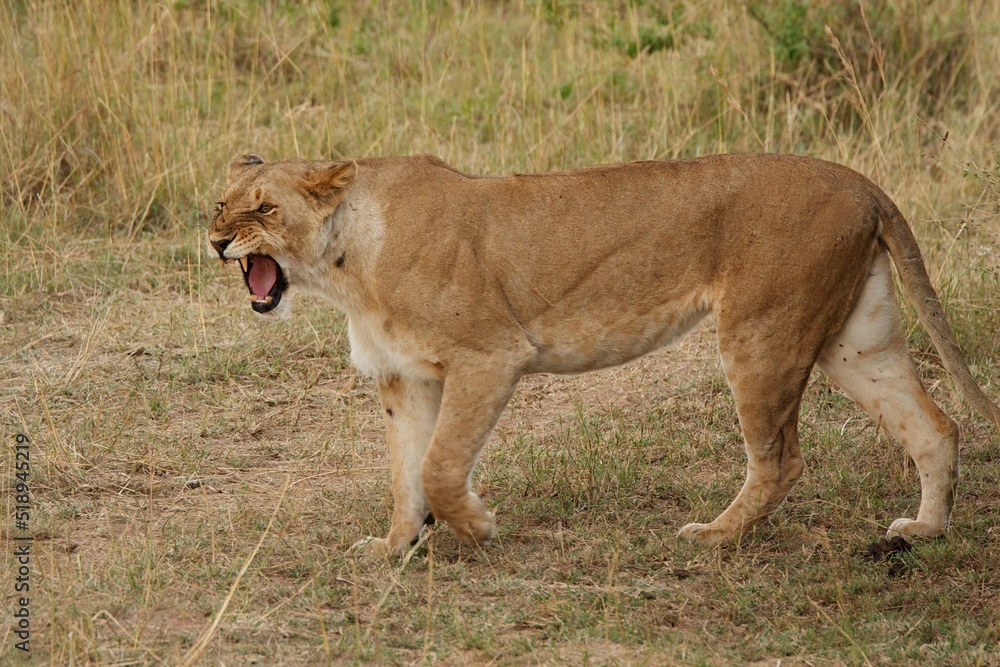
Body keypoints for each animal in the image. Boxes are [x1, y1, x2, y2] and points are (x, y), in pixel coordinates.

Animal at [208, 152, 999, 557]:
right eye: (219, 205)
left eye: (265, 208)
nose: (216, 241)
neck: (344, 263)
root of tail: (861, 181)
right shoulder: (404, 377)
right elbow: (405, 473)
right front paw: (394, 546)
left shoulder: (490, 355)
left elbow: (437, 466)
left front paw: (478, 526)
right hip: (854, 342)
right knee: (935, 426)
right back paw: (924, 530)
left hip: (762, 332)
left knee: (782, 460)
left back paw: (714, 535)